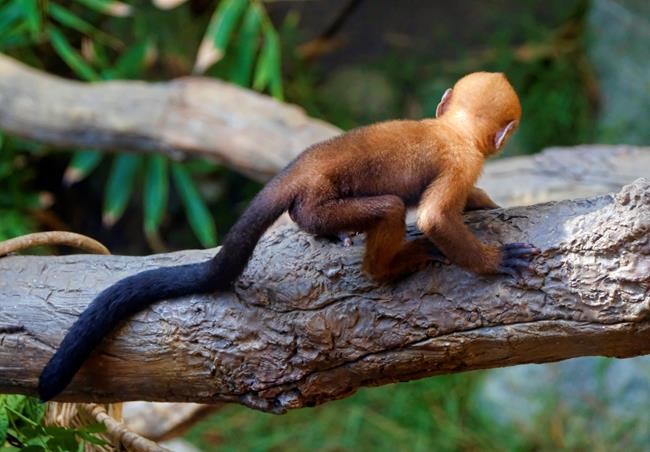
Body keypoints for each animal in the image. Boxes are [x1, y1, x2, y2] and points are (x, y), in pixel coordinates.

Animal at [37, 72, 538, 401]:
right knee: (391, 210)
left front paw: (485, 205)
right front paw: (493, 261)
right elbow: (436, 217)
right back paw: (390, 264)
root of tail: (300, 169)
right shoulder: (462, 160)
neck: (451, 127)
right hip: (320, 200)